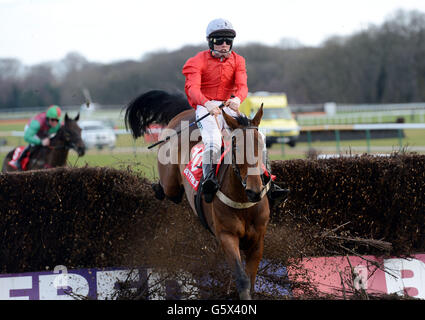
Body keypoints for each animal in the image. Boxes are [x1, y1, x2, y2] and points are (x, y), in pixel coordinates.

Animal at [124, 90, 268, 300]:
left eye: (261, 145)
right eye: (236, 148)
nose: (254, 190)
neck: (243, 202)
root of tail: (186, 112)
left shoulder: (258, 240)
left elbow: (252, 280)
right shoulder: (227, 236)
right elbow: (242, 280)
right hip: (171, 183)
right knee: (169, 191)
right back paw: (156, 187)